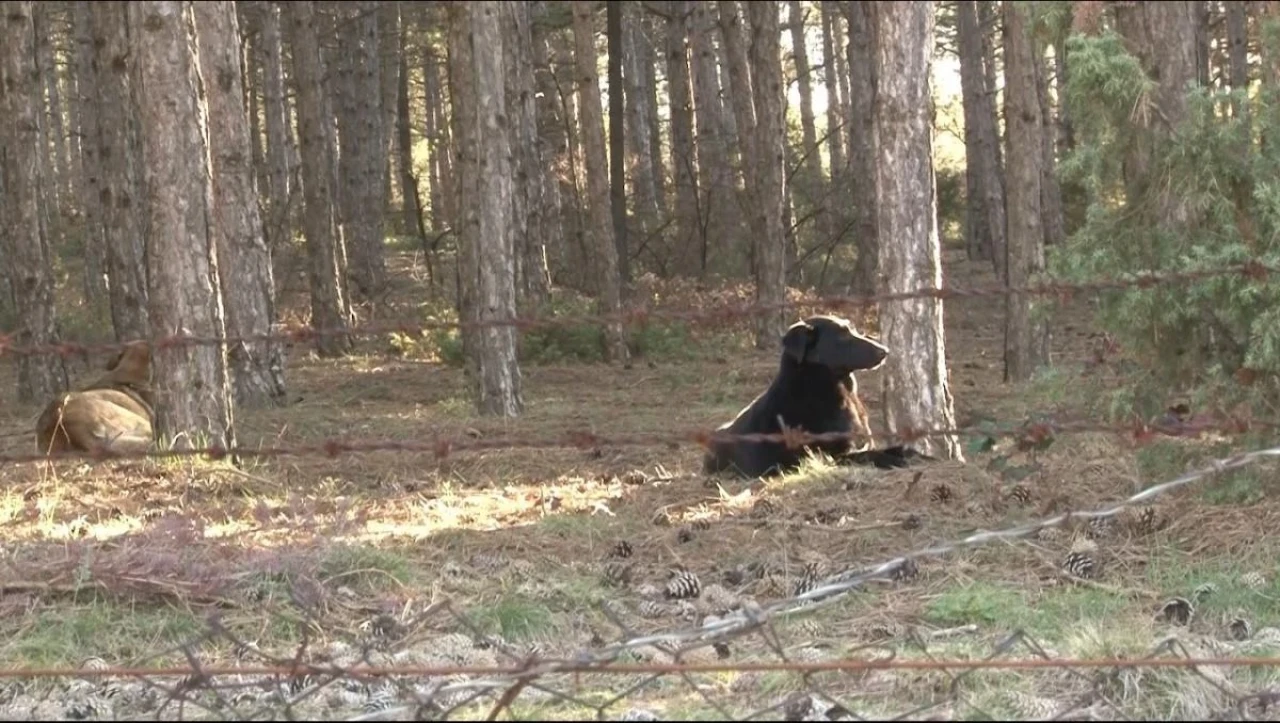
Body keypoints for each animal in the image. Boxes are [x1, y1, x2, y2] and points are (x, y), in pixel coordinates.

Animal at [706, 316, 926, 478]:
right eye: (842, 337)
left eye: (852, 329)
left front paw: (916, 454)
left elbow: (898, 448)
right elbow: (868, 455)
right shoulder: (831, 456)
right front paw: (894, 460)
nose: (885, 351)